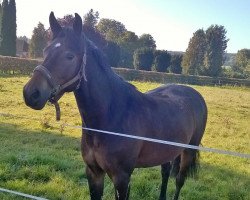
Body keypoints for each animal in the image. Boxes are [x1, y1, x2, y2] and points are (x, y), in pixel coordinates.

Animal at [23, 12, 207, 200]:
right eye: (45, 51)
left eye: (69, 56)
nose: (31, 93)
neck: (111, 118)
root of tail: (194, 93)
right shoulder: (94, 173)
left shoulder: (122, 178)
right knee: (165, 173)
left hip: (188, 152)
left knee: (179, 181)